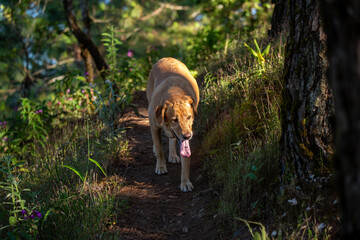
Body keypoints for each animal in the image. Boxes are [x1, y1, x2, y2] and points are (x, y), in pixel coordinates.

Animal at [148, 57, 201, 192]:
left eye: (189, 117)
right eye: (174, 120)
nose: (187, 136)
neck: (175, 94)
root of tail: (166, 58)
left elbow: (186, 160)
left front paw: (185, 182)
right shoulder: (154, 126)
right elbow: (159, 148)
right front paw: (161, 167)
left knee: (172, 139)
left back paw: (172, 154)